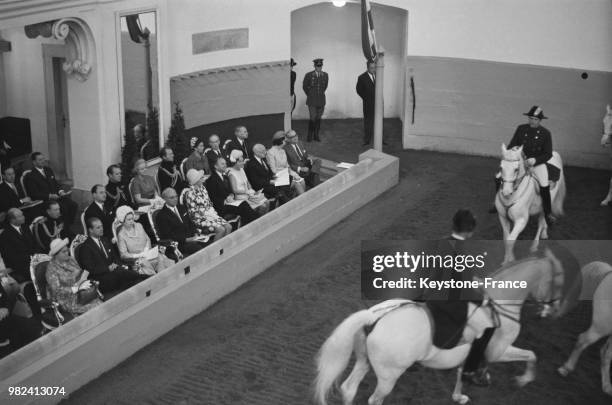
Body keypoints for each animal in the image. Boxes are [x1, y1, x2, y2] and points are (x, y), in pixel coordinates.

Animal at [314, 252, 560, 404]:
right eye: (555, 281)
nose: (553, 308)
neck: (499, 303)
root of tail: (374, 318)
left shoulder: (469, 356)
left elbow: (462, 375)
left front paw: (460, 396)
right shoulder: (498, 351)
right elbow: (531, 355)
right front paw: (524, 379)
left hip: (364, 361)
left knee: (348, 389)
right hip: (388, 376)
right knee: (374, 399)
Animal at [560, 260, 612, 396]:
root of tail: (609, 272)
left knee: (605, 353)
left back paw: (607, 385)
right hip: (602, 326)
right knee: (583, 340)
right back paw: (566, 368)